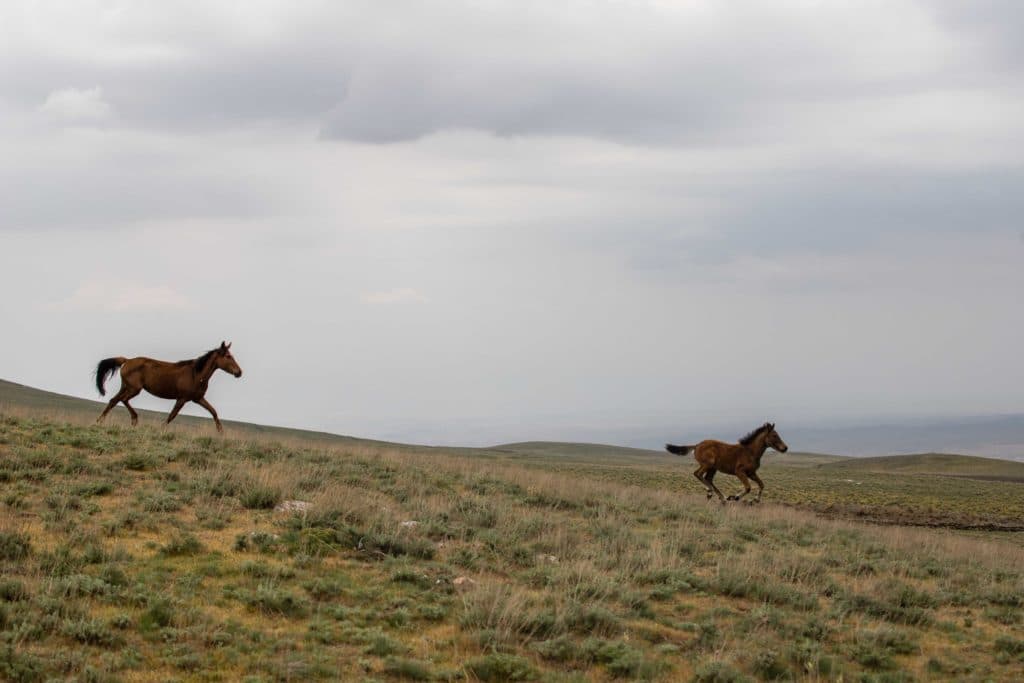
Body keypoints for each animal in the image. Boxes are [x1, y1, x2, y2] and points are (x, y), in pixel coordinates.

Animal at [94, 342, 241, 432]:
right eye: (228, 356)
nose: (239, 372)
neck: (196, 374)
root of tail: (127, 360)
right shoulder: (182, 399)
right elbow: (172, 415)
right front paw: (161, 429)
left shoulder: (198, 399)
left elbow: (213, 412)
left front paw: (221, 432)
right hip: (134, 389)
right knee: (122, 400)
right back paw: (133, 419)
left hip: (126, 387)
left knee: (114, 400)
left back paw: (101, 421)